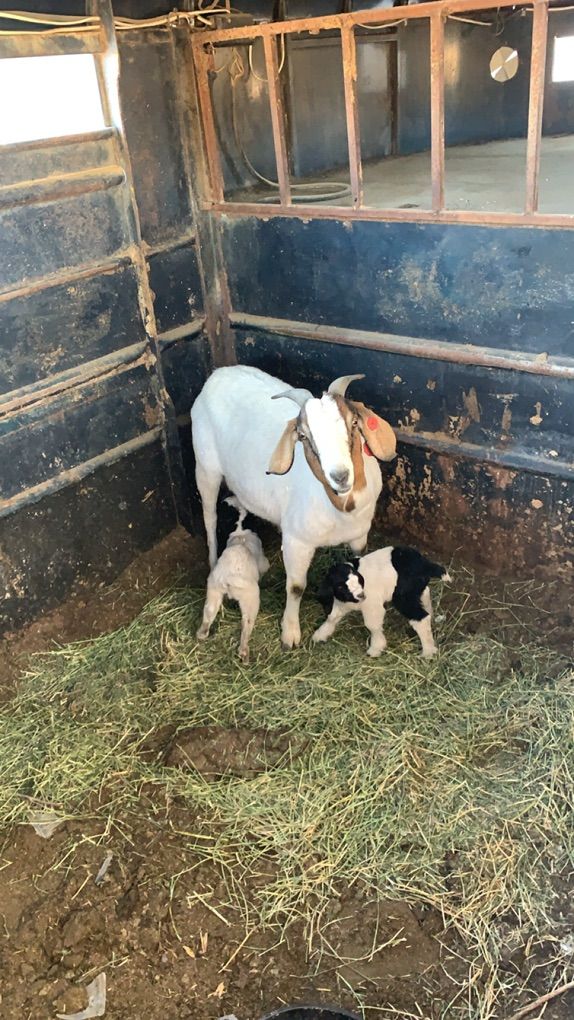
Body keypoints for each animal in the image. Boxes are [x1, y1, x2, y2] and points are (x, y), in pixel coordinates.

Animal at [197, 496, 270, 663]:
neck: (240, 531)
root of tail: (230, 578)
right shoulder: (263, 563)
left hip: (213, 591)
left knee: (209, 613)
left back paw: (202, 633)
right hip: (251, 600)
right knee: (246, 625)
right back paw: (244, 651)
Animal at [313, 546, 451, 658]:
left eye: (359, 580)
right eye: (340, 587)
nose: (361, 595)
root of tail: (424, 564)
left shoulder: (372, 605)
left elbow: (372, 626)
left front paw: (376, 648)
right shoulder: (342, 603)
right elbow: (332, 617)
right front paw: (320, 635)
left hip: (402, 596)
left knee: (421, 618)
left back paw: (428, 652)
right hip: (414, 590)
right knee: (426, 594)